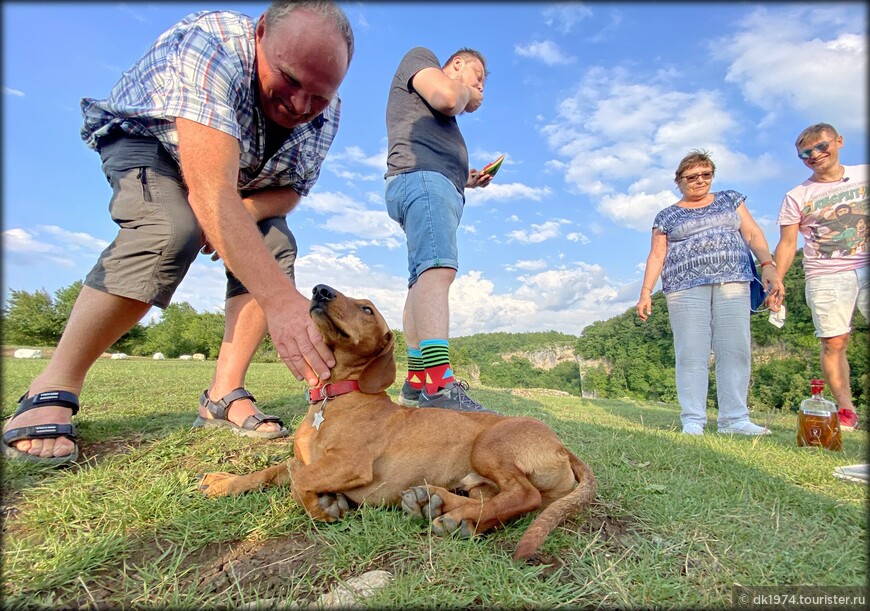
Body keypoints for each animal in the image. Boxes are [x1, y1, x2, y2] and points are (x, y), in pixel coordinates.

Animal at [200, 284, 596, 560]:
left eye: (367, 309)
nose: (320, 290)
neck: (334, 397)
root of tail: (563, 448)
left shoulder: (350, 462)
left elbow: (301, 483)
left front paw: (327, 507)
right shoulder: (303, 459)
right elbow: (272, 472)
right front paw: (224, 482)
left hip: (490, 445)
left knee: (525, 495)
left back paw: (457, 518)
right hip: (479, 479)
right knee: (499, 497)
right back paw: (437, 503)